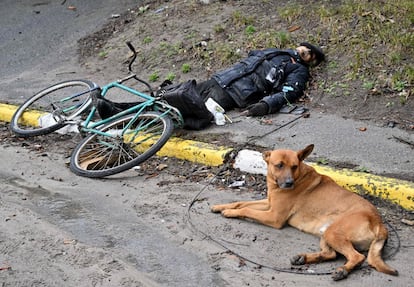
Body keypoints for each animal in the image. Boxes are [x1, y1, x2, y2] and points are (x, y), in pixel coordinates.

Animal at [212, 145, 400, 280]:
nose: (288, 183)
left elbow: (247, 209)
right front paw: (221, 206)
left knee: (357, 257)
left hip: (333, 232)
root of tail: (379, 222)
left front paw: (229, 212)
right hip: (327, 232)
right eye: (279, 165)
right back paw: (303, 259)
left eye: (294, 166)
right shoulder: (268, 204)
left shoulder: (274, 216)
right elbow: (241, 202)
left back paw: (342, 271)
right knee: (331, 254)